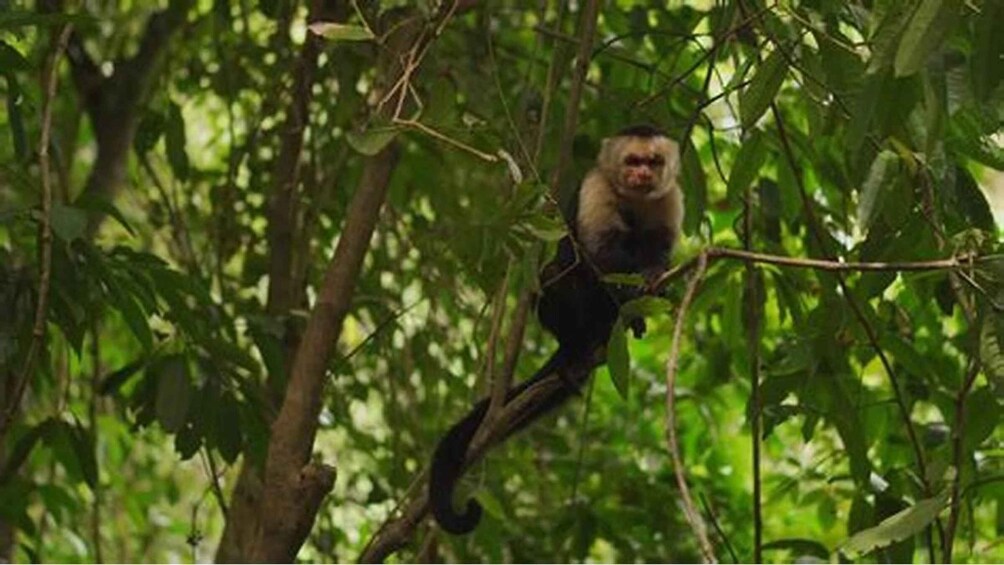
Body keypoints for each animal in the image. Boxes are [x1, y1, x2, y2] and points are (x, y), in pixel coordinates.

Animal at [429, 124, 683, 535]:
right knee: (556, 272)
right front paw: (632, 287)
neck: (634, 197)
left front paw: (653, 277)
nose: (642, 175)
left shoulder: (669, 196)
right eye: (632, 161)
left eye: (654, 161)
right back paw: (576, 350)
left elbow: (658, 247)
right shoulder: (595, 186)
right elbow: (599, 252)